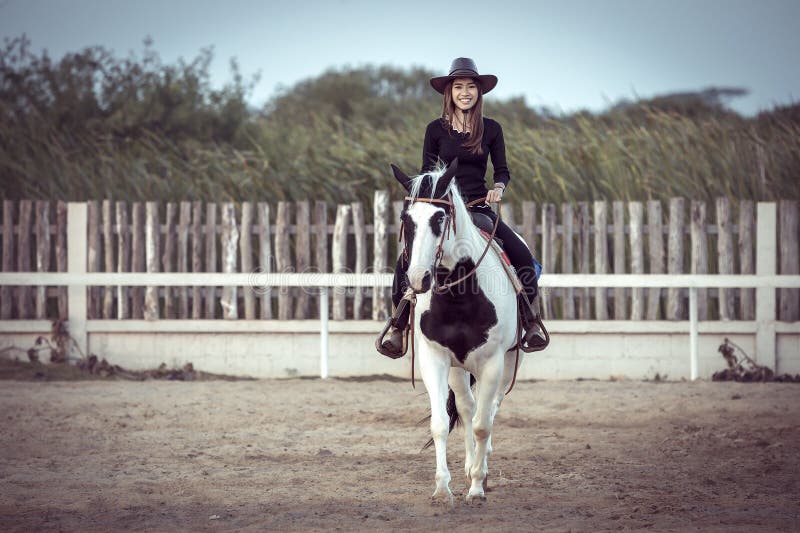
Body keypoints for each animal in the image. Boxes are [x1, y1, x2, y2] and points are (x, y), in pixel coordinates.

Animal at [390, 158, 520, 502]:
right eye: (406, 219)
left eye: (440, 217)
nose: (418, 278)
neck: (460, 297)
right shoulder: (435, 359)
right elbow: (441, 423)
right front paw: (442, 488)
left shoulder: (493, 362)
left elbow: (482, 425)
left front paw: (476, 488)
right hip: (459, 370)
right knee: (467, 407)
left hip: (508, 362)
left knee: (489, 411)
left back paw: (480, 470)